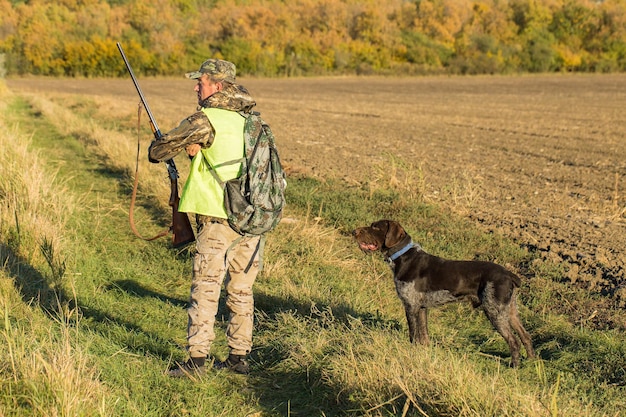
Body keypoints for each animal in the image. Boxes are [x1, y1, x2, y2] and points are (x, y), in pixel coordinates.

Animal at [352, 219, 532, 366]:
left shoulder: (410, 307)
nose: (354, 232)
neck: (403, 257)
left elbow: (413, 334)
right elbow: (424, 336)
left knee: (514, 341)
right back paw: (532, 361)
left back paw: (514, 366)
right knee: (526, 337)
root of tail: (508, 274)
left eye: (375, 227)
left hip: (495, 312)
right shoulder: (421, 308)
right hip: (510, 311)